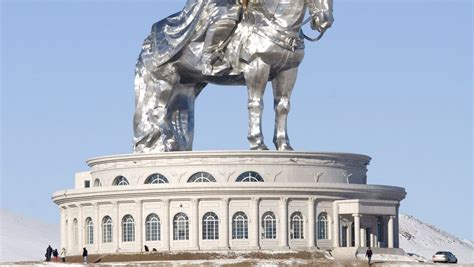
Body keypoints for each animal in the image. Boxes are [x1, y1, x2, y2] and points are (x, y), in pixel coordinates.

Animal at [133, 0, 334, 153]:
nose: (325, 21)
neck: (278, 23)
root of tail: (148, 40)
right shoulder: (257, 66)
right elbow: (256, 104)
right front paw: (258, 143)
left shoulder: (288, 71)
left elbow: (282, 107)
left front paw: (284, 145)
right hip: (166, 78)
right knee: (157, 111)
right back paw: (169, 142)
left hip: (185, 83)